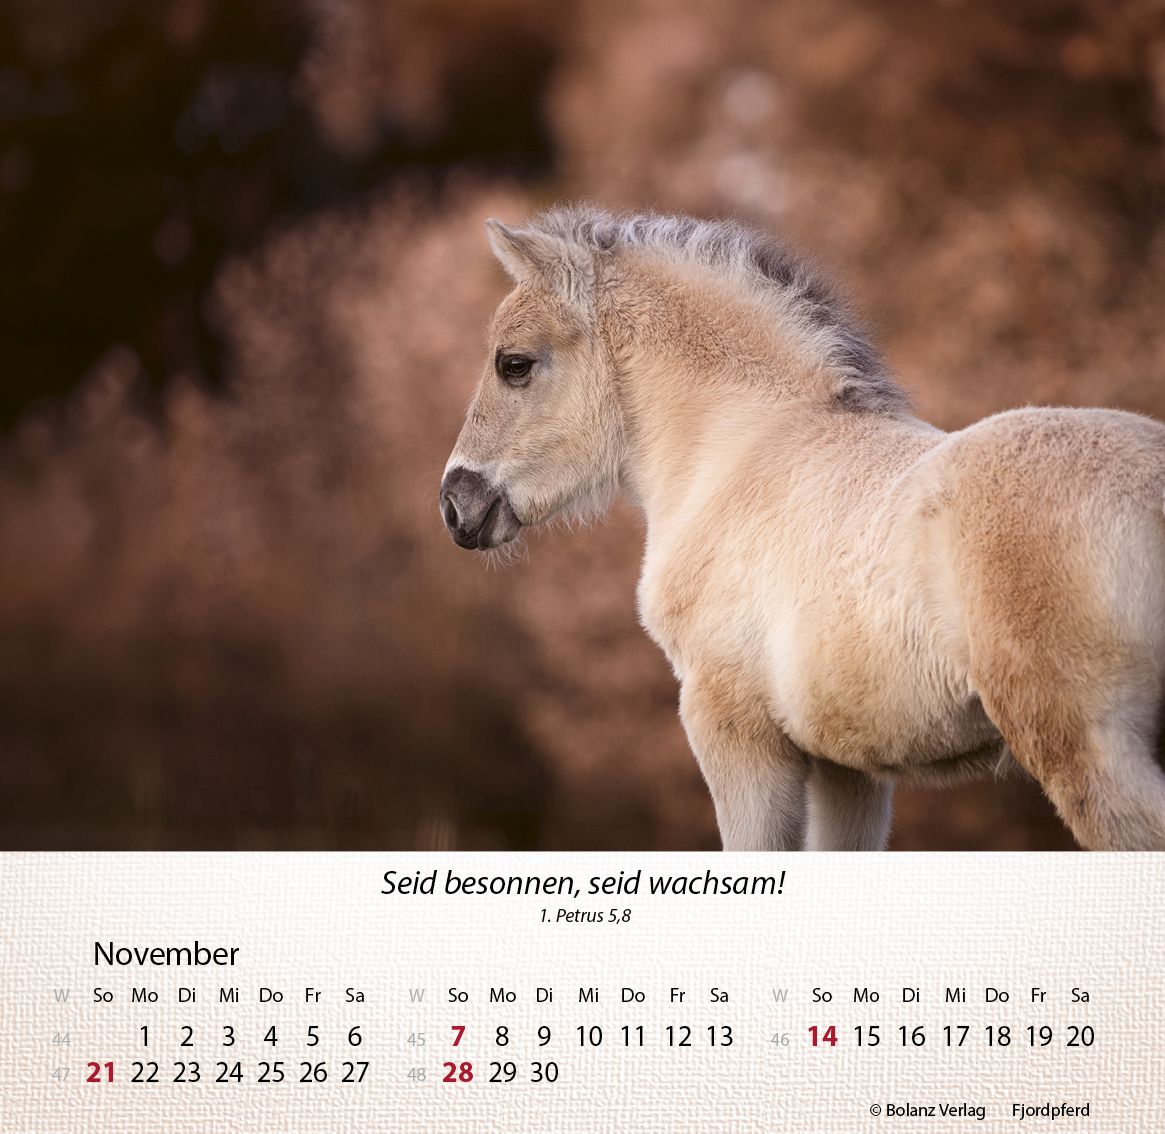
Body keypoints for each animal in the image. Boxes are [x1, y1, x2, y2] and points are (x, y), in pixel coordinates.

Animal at [439, 205, 1165, 851]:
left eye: (514, 363)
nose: (455, 503)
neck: (740, 452)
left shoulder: (733, 731)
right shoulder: (850, 767)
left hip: (1085, 748)